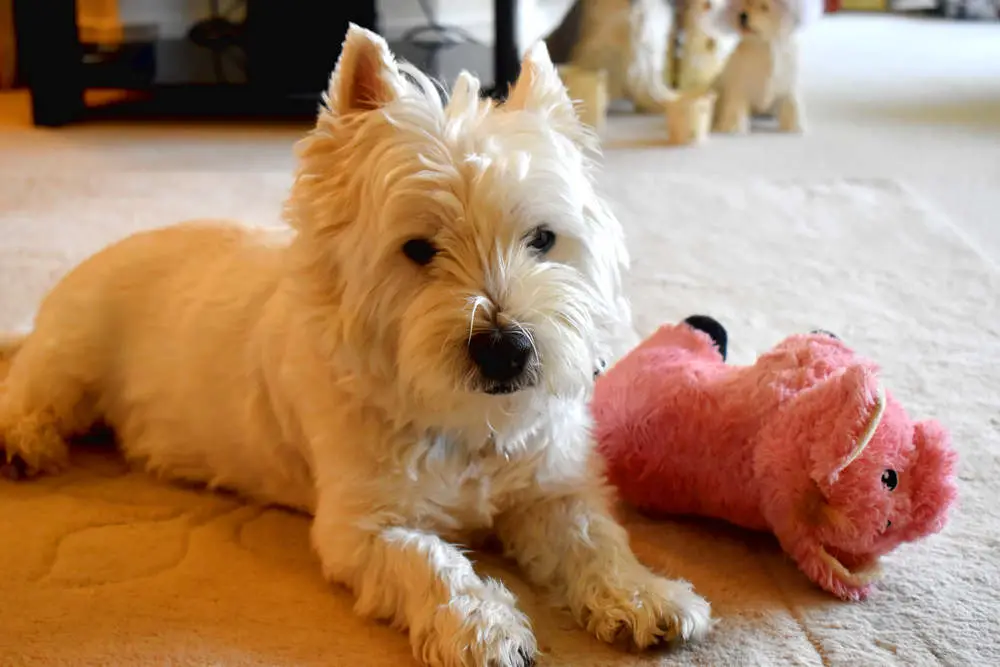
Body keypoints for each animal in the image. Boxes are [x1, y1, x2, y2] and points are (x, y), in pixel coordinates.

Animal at [3, 24, 716, 667]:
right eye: (418, 249)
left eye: (543, 238)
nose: (507, 350)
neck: (466, 424)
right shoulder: (362, 526)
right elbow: (431, 561)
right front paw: (485, 629)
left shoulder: (549, 489)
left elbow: (594, 537)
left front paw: (646, 597)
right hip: (72, 359)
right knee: (28, 390)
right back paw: (23, 444)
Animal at [716, 0, 824, 133]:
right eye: (744, 4)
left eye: (764, 7)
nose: (742, 15)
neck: (765, 45)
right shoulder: (739, 87)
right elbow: (735, 108)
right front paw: (732, 128)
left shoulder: (788, 85)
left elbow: (791, 106)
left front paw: (793, 127)